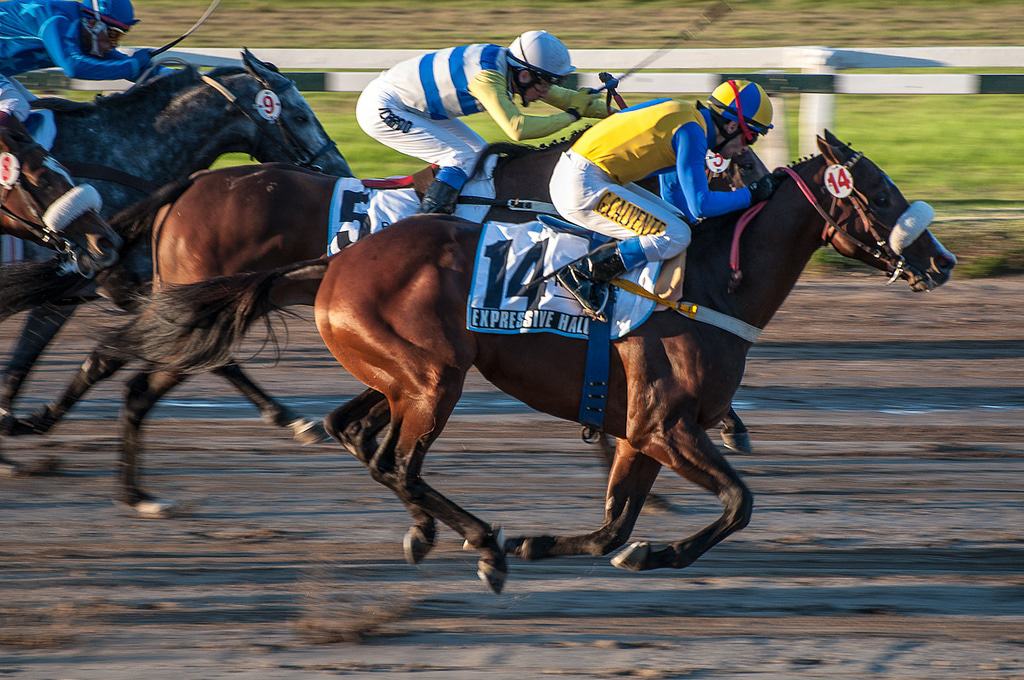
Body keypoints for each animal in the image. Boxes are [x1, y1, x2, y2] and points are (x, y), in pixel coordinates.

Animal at [107, 131, 956, 591]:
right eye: (881, 193)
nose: (942, 262)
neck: (712, 280)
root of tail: (337, 261)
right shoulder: (665, 426)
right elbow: (739, 502)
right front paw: (654, 552)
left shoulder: (639, 431)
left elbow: (614, 526)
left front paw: (567, 544)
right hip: (434, 377)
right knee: (399, 461)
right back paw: (482, 545)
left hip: (400, 376)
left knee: (362, 440)